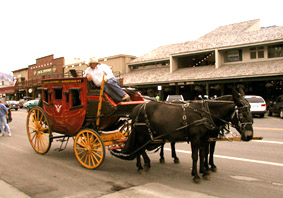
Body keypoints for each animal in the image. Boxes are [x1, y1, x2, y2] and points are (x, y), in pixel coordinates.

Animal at [110, 89, 254, 183]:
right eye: (242, 113)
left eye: (250, 110)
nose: (249, 136)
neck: (206, 114)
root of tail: (137, 108)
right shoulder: (196, 139)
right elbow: (196, 156)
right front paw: (196, 175)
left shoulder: (206, 139)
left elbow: (204, 154)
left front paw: (205, 171)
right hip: (142, 133)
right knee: (139, 148)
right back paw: (142, 166)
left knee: (140, 148)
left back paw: (145, 163)